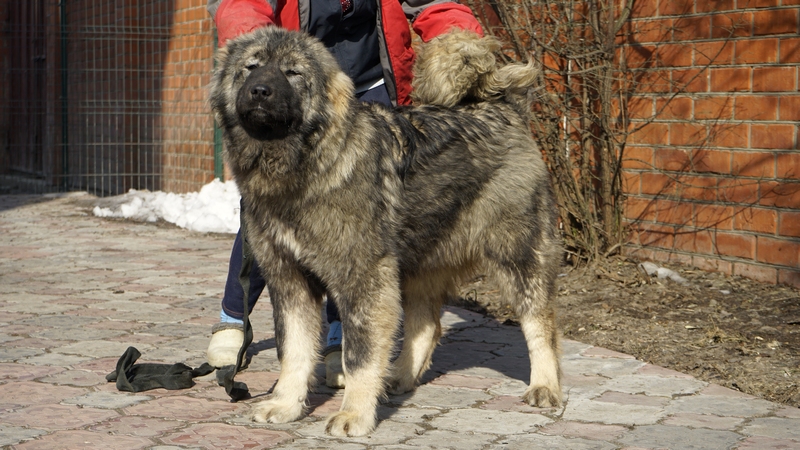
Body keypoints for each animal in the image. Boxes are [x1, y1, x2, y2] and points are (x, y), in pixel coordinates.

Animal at [212, 27, 564, 436]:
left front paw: (353, 414)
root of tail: (502, 106)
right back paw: (398, 377)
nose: (260, 91)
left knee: (540, 322)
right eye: (250, 67)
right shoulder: (290, 281)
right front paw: (286, 404)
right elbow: (294, 352)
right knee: (427, 325)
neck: (304, 165)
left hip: (517, 253)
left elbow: (359, 356)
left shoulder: (363, 278)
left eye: (292, 73)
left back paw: (545, 386)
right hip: (418, 259)